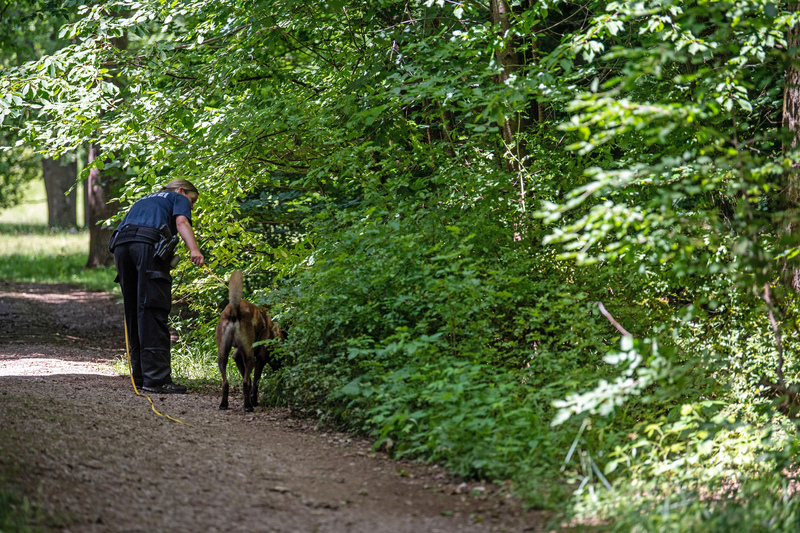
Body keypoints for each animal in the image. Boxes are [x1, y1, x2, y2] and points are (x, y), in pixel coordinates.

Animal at [216, 270, 284, 412]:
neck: (272, 332)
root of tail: (234, 311)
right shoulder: (260, 359)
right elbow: (255, 382)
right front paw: (254, 400)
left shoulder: (237, 356)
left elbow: (248, 378)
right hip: (250, 357)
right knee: (245, 383)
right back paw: (248, 406)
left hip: (222, 355)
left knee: (225, 383)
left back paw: (224, 404)